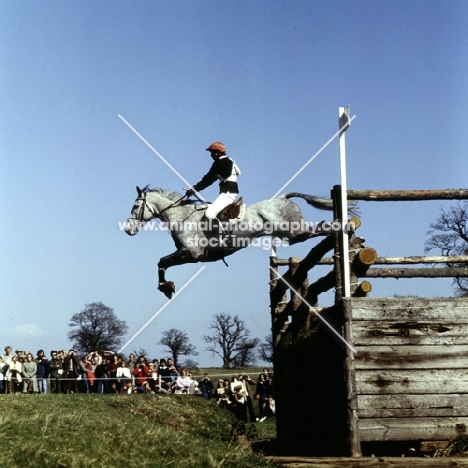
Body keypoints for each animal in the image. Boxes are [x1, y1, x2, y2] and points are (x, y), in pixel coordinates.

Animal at [124, 186, 352, 298]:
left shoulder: (192, 255)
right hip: (292, 235)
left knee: (322, 226)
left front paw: (166, 287)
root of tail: (284, 198)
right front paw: (166, 286)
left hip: (295, 233)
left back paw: (346, 229)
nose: (128, 229)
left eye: (135, 207)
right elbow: (161, 263)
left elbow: (161, 262)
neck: (182, 216)